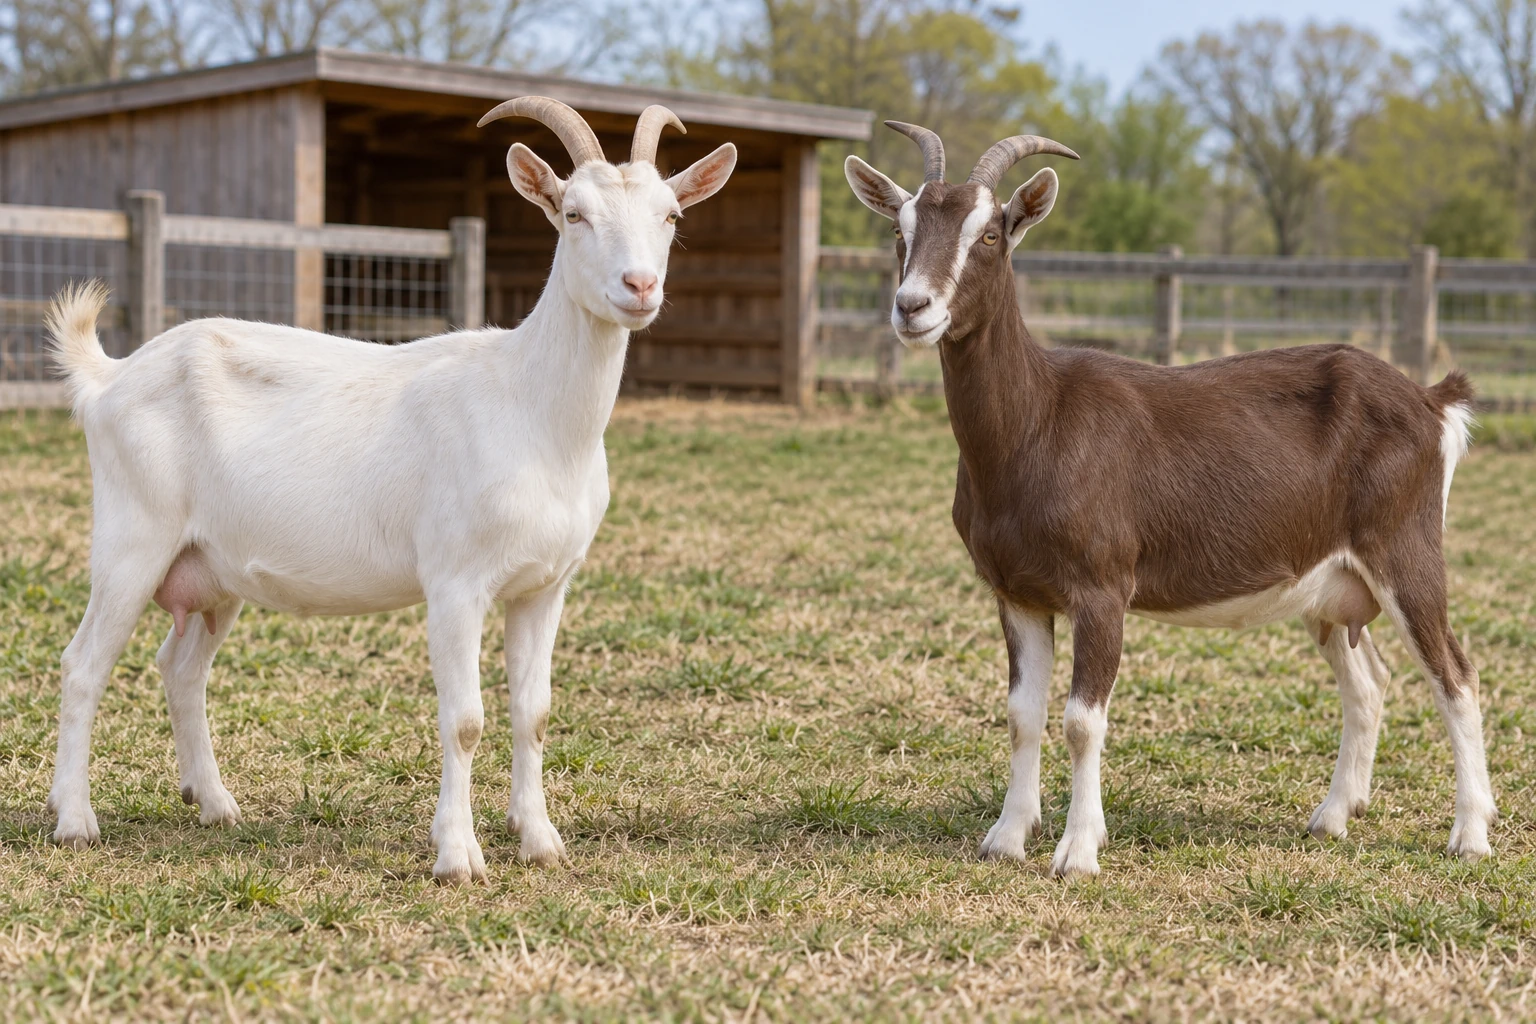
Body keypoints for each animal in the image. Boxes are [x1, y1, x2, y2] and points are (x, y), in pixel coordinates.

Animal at [44, 97, 737, 884]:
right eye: (572, 213)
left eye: (671, 215)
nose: (639, 287)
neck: (533, 411)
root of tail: (110, 378)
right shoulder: (455, 583)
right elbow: (464, 720)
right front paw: (458, 857)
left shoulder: (544, 585)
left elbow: (533, 712)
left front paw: (539, 839)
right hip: (132, 539)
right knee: (83, 666)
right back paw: (75, 820)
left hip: (210, 570)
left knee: (180, 668)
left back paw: (215, 804)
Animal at [845, 122, 1494, 878]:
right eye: (900, 228)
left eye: (991, 234)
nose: (912, 307)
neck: (1039, 421)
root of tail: (1431, 400)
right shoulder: (1017, 593)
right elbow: (1021, 713)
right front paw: (1006, 838)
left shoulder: (1101, 586)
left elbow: (1081, 720)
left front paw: (1078, 850)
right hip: (1332, 584)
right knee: (1368, 684)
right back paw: (1333, 817)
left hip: (1405, 550)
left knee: (1456, 677)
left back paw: (1471, 835)